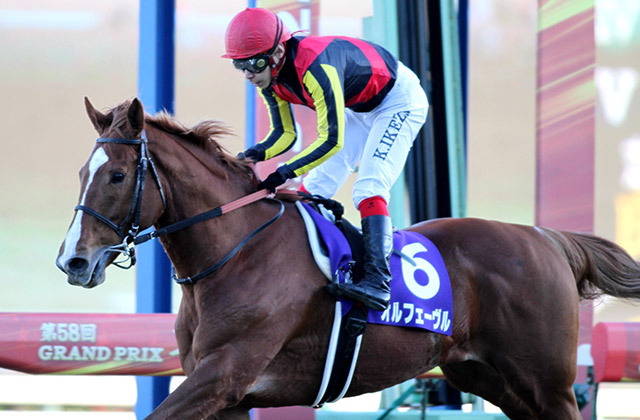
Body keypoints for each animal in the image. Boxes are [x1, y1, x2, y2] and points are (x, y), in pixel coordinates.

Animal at [56, 97, 640, 420]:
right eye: (81, 173)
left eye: (117, 175)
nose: (73, 262)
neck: (235, 254)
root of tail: (545, 238)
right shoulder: (228, 396)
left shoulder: (223, 375)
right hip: (488, 377)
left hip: (548, 384)